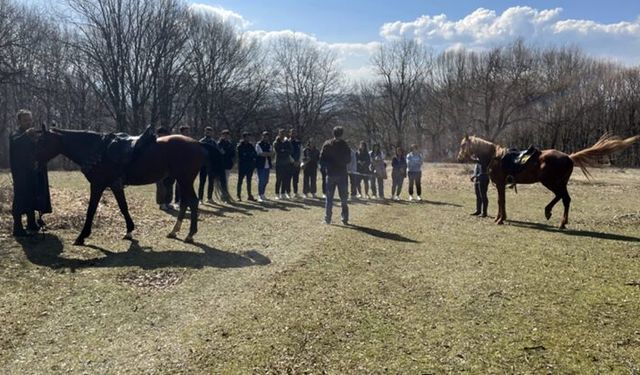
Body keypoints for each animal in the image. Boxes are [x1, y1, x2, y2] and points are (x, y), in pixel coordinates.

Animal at [33, 127, 228, 247]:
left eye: (42, 142)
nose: (34, 163)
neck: (97, 149)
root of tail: (197, 143)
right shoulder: (115, 185)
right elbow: (123, 207)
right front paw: (129, 231)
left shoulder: (98, 185)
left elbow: (91, 210)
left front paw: (82, 236)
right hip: (181, 180)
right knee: (186, 202)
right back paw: (175, 231)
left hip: (185, 179)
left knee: (192, 202)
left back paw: (189, 234)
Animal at [458, 135, 636, 229]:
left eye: (462, 145)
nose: (459, 158)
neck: (495, 158)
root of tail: (569, 157)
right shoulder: (500, 185)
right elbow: (501, 201)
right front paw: (499, 218)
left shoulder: (501, 184)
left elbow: (501, 201)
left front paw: (500, 219)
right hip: (560, 183)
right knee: (565, 199)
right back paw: (557, 218)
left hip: (550, 182)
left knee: (562, 198)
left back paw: (552, 215)